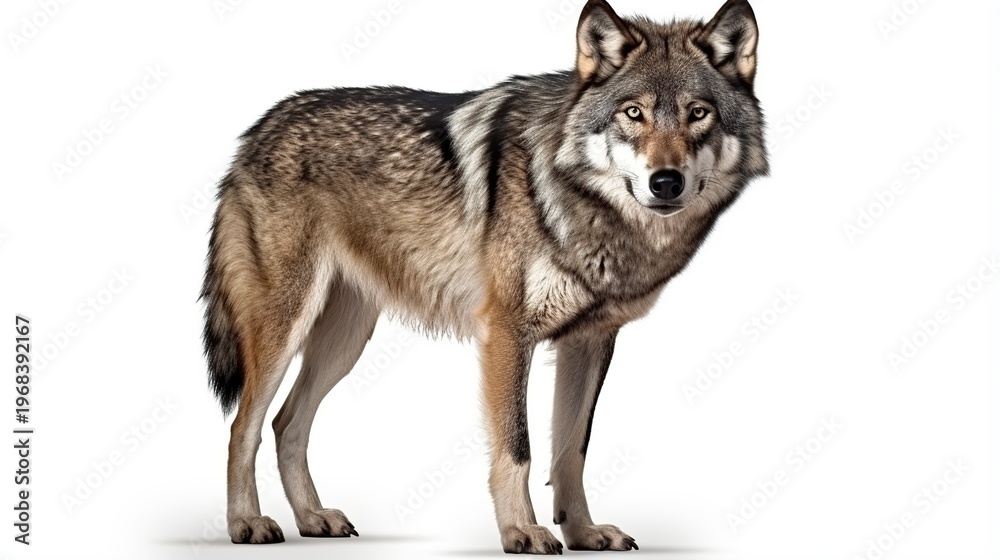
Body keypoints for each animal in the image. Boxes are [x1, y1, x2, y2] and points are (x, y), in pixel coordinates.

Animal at [202, 0, 766, 553]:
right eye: (634, 113)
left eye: (698, 113)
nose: (665, 182)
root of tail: (258, 129)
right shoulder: (507, 335)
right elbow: (518, 449)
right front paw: (522, 532)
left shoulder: (589, 341)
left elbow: (572, 450)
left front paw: (582, 533)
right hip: (286, 327)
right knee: (243, 427)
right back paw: (247, 523)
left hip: (346, 340)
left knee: (286, 423)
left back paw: (314, 518)